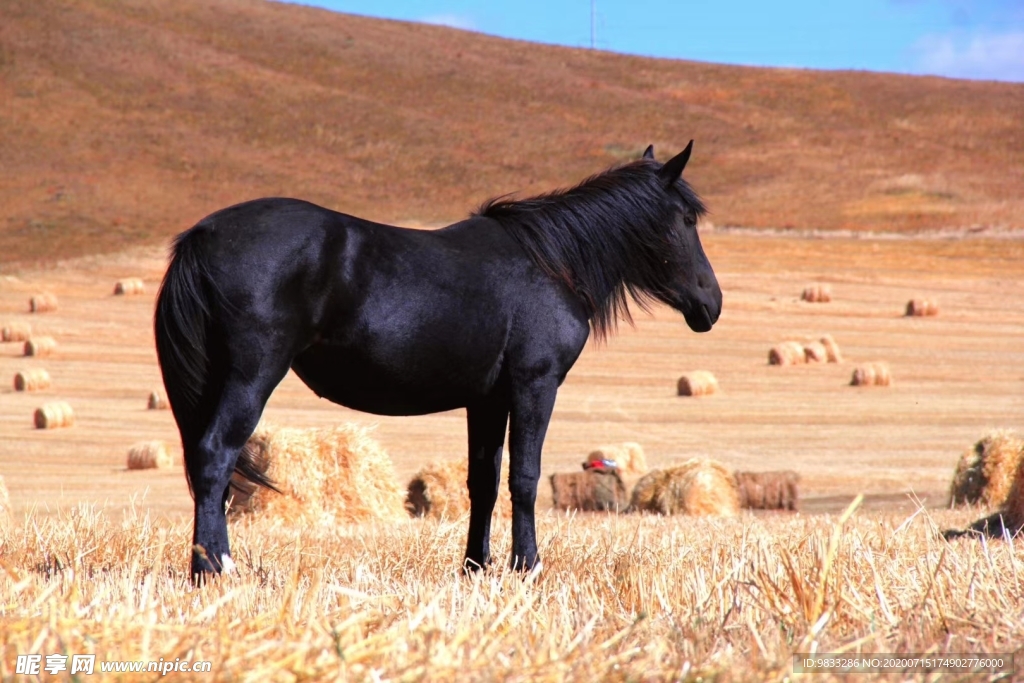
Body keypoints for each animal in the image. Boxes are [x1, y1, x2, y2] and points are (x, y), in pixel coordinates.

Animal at [157, 141, 720, 581]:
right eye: (688, 218)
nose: (710, 304)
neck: (551, 264)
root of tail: (204, 234)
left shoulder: (488, 400)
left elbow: (483, 482)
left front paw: (475, 567)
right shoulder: (534, 385)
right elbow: (525, 478)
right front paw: (527, 566)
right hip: (251, 376)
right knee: (214, 456)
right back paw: (216, 569)